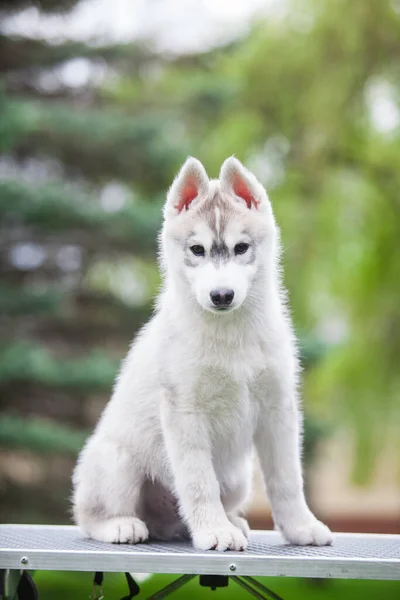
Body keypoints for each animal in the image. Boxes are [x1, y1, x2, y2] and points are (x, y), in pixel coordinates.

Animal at [73, 157, 332, 552]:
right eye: (197, 250)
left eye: (241, 248)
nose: (221, 295)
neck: (231, 336)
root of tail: (162, 521)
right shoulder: (185, 411)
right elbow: (198, 482)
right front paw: (213, 531)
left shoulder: (278, 408)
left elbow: (287, 479)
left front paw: (301, 527)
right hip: (116, 462)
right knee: (89, 515)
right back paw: (121, 525)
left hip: (239, 477)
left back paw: (230, 521)